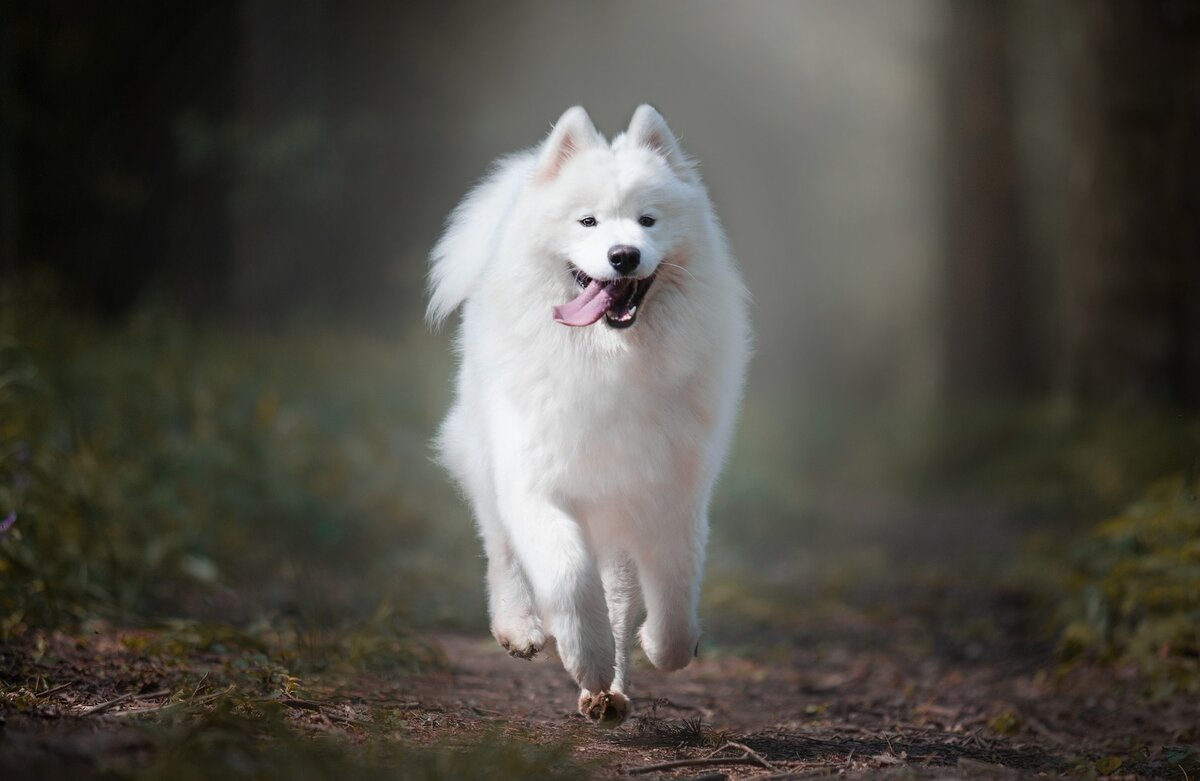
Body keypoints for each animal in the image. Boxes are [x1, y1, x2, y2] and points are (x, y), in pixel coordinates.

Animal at [429, 105, 748, 729]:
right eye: (588, 222)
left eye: (648, 221)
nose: (623, 255)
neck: (610, 362)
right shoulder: (537, 486)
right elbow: (568, 577)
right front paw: (585, 656)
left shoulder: (668, 492)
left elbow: (674, 592)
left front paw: (659, 649)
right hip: (486, 462)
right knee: (502, 549)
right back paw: (522, 629)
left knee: (620, 599)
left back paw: (612, 692)